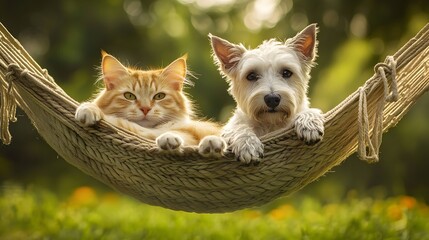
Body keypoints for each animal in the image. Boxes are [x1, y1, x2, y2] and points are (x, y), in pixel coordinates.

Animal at [75, 52, 226, 158]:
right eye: (129, 96)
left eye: (159, 96)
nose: (145, 108)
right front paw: (88, 109)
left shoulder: (188, 133)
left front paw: (168, 138)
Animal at [209, 23, 322, 163]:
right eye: (251, 76)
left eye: (286, 72)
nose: (272, 99)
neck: (271, 124)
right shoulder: (232, 126)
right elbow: (238, 127)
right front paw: (248, 144)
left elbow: (309, 111)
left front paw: (309, 124)